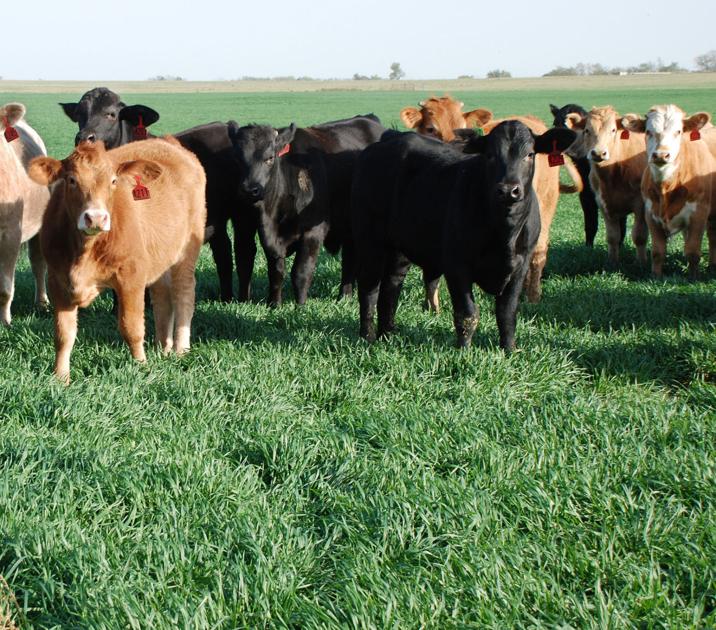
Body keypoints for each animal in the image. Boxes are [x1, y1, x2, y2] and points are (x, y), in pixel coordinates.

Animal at [28, 139, 206, 383]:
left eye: (113, 181)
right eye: (71, 180)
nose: (95, 218)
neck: (85, 251)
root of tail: (168, 142)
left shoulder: (131, 277)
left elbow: (132, 327)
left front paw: (141, 366)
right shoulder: (58, 281)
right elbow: (64, 334)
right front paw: (61, 376)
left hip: (186, 252)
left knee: (183, 293)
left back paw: (180, 349)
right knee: (162, 295)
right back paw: (163, 347)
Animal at [225, 115, 385, 306]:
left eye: (270, 158)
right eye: (236, 158)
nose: (250, 189)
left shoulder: (313, 231)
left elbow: (301, 272)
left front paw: (300, 306)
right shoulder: (266, 237)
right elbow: (276, 272)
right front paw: (274, 304)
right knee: (350, 259)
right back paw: (344, 297)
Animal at [351, 120, 575, 350]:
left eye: (530, 154)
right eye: (489, 155)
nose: (508, 190)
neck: (504, 234)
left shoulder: (520, 266)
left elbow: (507, 313)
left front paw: (509, 350)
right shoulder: (456, 264)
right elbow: (467, 314)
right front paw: (463, 350)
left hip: (398, 250)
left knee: (390, 288)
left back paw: (387, 334)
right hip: (369, 240)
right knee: (369, 290)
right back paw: (367, 336)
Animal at [565, 106, 649, 266]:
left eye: (613, 130)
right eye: (587, 130)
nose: (598, 153)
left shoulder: (641, 206)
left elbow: (639, 236)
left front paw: (641, 263)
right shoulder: (603, 204)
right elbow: (612, 237)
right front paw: (612, 263)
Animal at [622, 105, 716, 278]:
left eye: (678, 131)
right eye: (648, 131)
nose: (661, 155)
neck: (667, 187)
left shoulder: (699, 214)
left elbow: (693, 251)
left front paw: (693, 277)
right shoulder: (651, 214)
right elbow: (658, 251)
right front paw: (656, 276)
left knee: (712, 236)